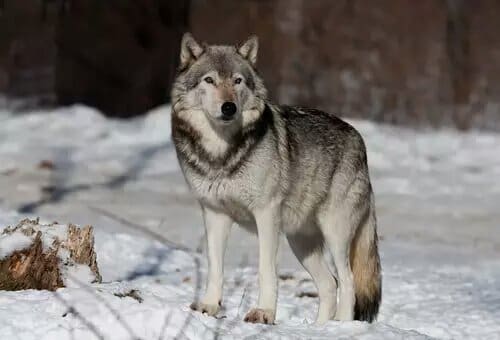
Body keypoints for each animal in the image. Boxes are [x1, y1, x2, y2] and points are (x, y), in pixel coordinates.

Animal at [170, 33, 380, 326]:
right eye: (209, 80)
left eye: (238, 81)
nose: (229, 107)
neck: (221, 155)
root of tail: (359, 139)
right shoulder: (214, 214)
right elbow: (215, 266)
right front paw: (209, 306)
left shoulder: (266, 214)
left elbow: (265, 270)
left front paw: (264, 313)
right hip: (300, 243)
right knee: (330, 284)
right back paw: (319, 328)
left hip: (334, 233)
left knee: (347, 282)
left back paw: (342, 327)